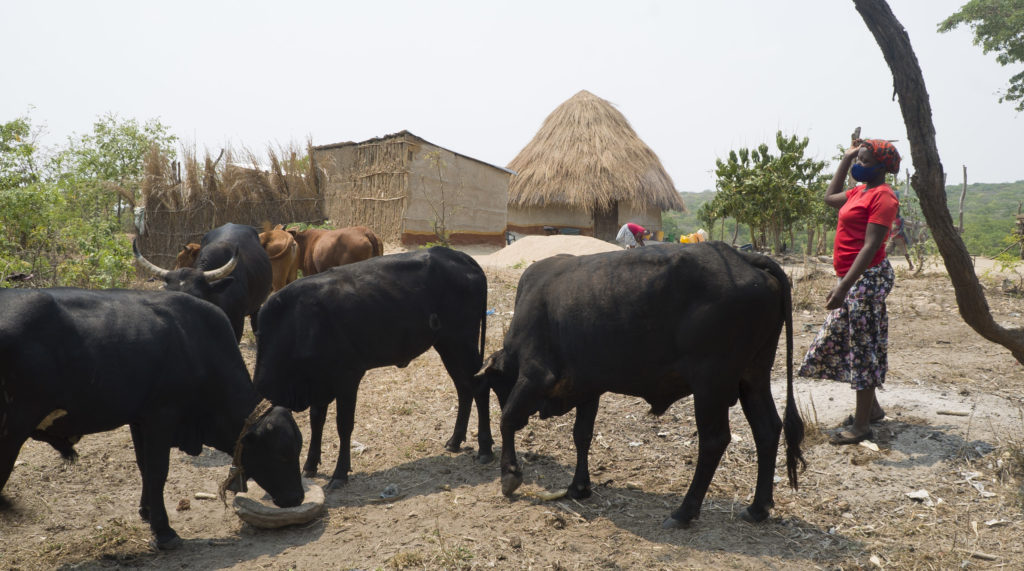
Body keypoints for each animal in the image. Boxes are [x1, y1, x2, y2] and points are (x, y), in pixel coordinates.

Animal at [0, 290, 303, 552]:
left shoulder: (139, 420)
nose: (298, 497)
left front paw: (147, 511)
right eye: (282, 454)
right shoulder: (161, 417)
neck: (193, 343)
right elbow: (158, 472)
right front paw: (164, 531)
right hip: (12, 432)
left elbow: (144, 466)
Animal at [258, 247, 493, 493]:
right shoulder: (318, 384)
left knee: (479, 385)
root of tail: (458, 255)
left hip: (462, 341)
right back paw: (455, 441)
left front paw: (339, 474)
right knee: (464, 387)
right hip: (447, 345)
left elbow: (344, 425)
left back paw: (485, 449)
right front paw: (310, 465)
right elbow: (317, 421)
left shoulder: (347, 378)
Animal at [475, 240, 802, 528]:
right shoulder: (588, 387)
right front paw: (579, 487)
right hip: (753, 376)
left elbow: (507, 420)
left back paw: (684, 512)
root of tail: (742, 257)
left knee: (714, 440)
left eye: (497, 386)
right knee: (767, 430)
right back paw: (758, 508)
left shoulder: (535, 375)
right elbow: (582, 435)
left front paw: (510, 476)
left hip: (711, 384)